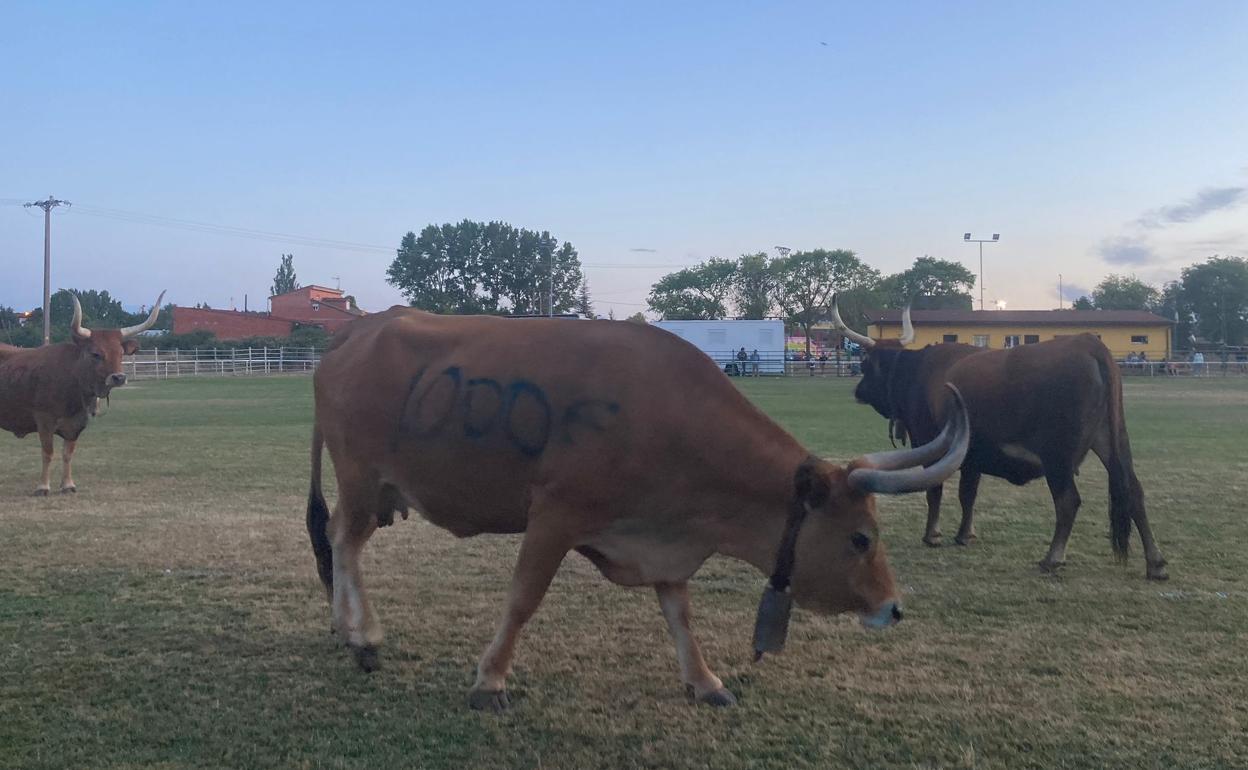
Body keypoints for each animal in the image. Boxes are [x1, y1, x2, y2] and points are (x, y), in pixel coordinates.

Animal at [0, 290, 163, 496]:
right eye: (96, 354)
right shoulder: (44, 420)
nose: (118, 377)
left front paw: (68, 485)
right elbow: (48, 453)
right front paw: (43, 486)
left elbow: (68, 454)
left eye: (120, 353)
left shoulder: (76, 424)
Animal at [307, 304, 968, 708]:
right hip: (362, 479)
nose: (892, 609)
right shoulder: (555, 516)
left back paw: (345, 628)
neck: (663, 415)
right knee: (345, 541)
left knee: (341, 538)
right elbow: (522, 601)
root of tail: (359, 329)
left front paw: (703, 680)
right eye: (860, 538)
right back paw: (362, 636)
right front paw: (490, 680)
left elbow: (680, 613)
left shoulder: (666, 535)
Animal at [828, 297, 1168, 579]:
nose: (858, 390)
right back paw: (1156, 562)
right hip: (1112, 440)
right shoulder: (971, 454)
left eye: (864, 364)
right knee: (1133, 491)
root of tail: (1086, 343)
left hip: (1057, 456)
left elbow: (935, 491)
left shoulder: (929, 441)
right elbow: (968, 494)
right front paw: (965, 534)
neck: (917, 373)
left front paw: (933, 535)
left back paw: (1053, 558)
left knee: (1068, 501)